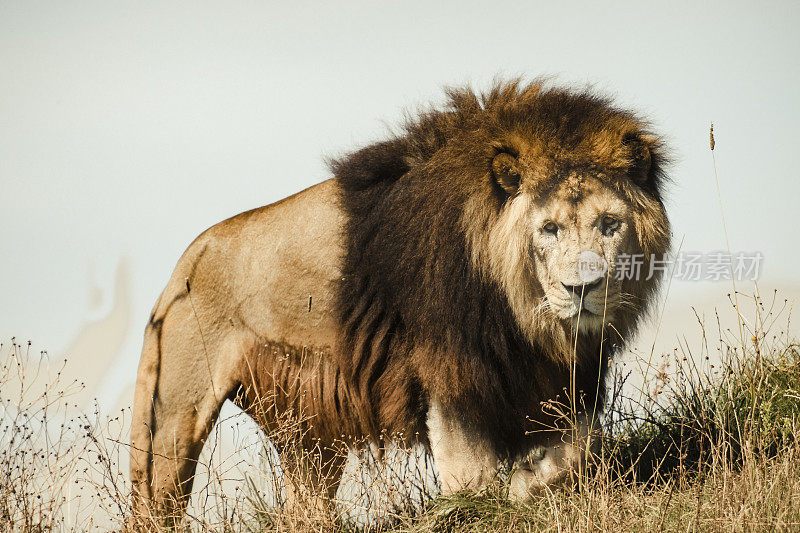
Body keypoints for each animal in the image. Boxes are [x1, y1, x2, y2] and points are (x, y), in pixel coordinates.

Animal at [130, 80, 668, 524]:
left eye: (609, 224)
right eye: (549, 229)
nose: (583, 288)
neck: (524, 316)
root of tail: (183, 264)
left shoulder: (569, 375)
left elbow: (584, 448)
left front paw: (526, 484)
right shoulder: (450, 369)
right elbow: (471, 476)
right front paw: (488, 503)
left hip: (306, 431)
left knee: (305, 502)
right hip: (173, 416)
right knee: (158, 498)